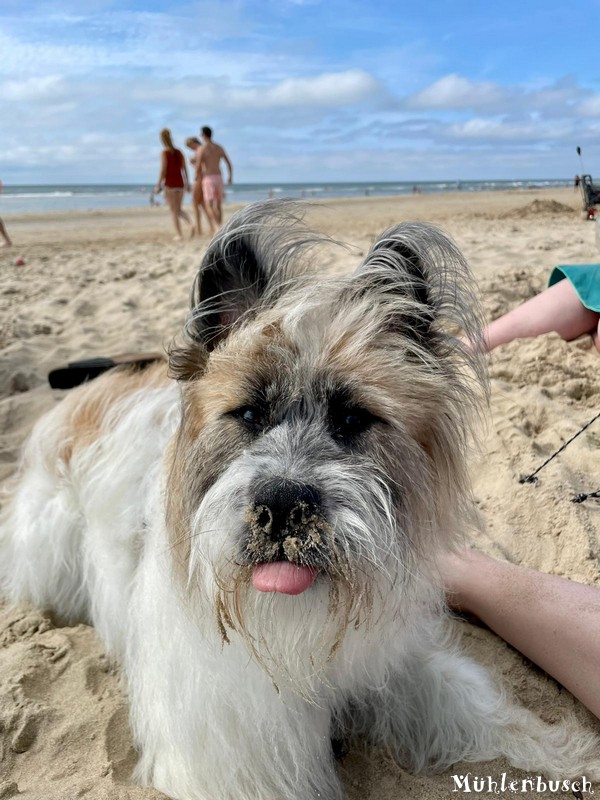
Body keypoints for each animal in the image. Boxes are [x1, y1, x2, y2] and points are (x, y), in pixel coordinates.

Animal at [1, 205, 600, 800]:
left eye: (353, 419)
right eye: (248, 415)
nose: (284, 505)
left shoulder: (398, 664)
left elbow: (480, 709)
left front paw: (572, 755)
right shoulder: (235, 760)